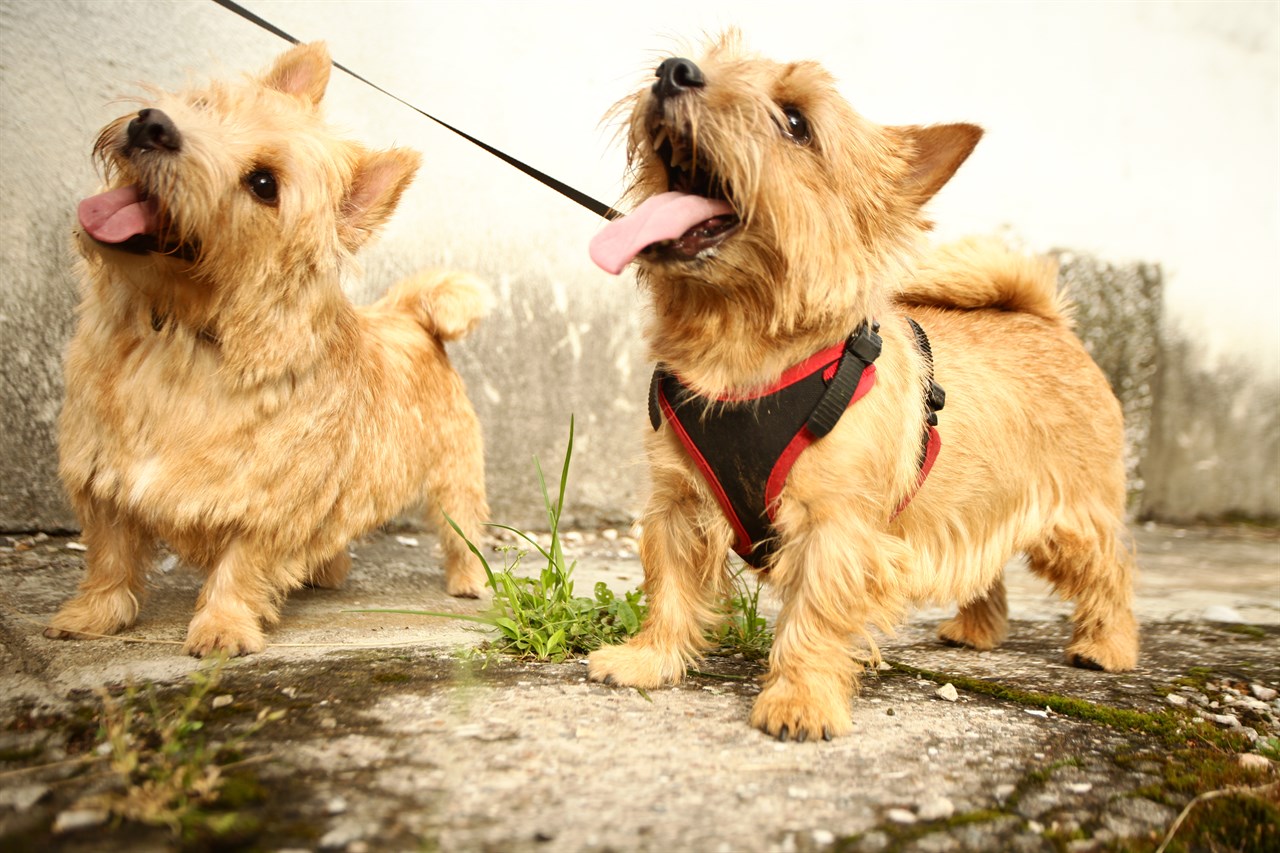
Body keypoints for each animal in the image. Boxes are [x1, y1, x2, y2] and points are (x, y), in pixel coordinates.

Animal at [46, 39, 488, 653]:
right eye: (203, 106)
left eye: (263, 185)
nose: (154, 125)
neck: (187, 334)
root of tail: (407, 315)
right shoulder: (101, 478)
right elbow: (109, 557)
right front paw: (94, 615)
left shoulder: (273, 506)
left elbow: (241, 566)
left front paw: (222, 626)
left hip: (454, 477)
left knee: (461, 529)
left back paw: (469, 581)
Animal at [586, 33, 1136, 737]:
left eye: (795, 122)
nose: (673, 71)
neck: (738, 353)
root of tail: (1047, 318)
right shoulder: (676, 506)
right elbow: (670, 586)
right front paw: (648, 659)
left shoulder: (836, 526)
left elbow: (815, 613)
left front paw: (799, 699)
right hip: (979, 501)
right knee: (986, 565)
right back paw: (976, 630)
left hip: (1072, 520)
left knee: (1111, 570)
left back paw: (1108, 645)